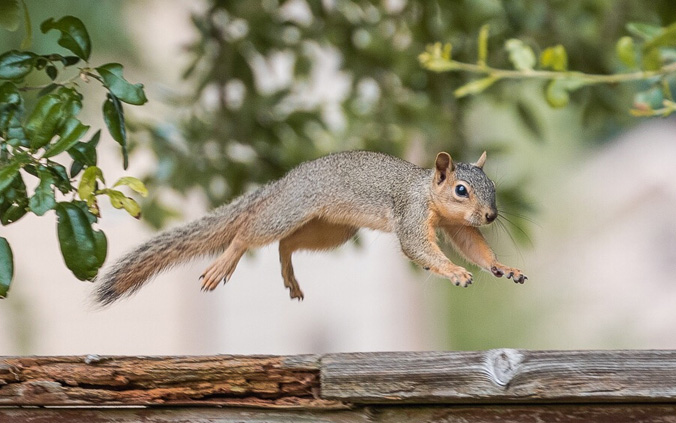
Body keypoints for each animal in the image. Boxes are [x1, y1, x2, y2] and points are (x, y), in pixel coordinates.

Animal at [93, 151, 528, 306]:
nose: (491, 215)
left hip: (331, 230)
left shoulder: (459, 228)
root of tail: (283, 183)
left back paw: (290, 274)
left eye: (492, 187)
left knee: (286, 244)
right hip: (291, 210)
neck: (426, 190)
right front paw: (455, 271)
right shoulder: (411, 214)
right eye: (461, 190)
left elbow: (475, 247)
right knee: (248, 233)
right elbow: (419, 247)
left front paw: (503, 267)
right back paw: (224, 264)